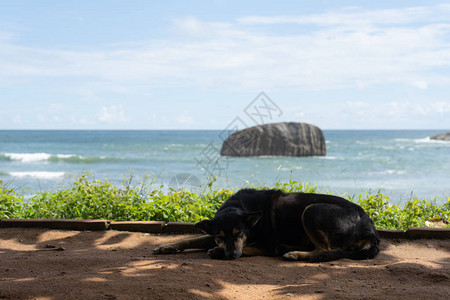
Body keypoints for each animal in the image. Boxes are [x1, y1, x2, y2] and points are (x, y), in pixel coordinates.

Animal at [155, 190, 380, 262]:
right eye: (220, 236)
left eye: (240, 232)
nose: (231, 255)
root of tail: (370, 228)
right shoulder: (212, 234)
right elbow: (190, 238)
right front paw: (167, 246)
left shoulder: (264, 244)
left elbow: (248, 248)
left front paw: (217, 252)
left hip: (311, 210)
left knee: (325, 250)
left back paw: (295, 254)